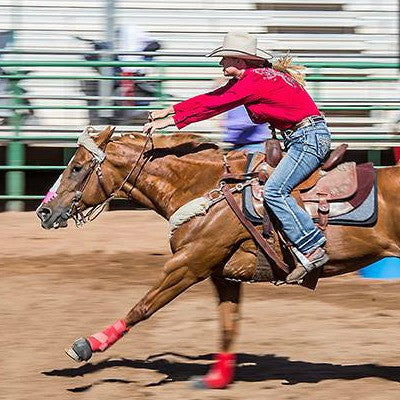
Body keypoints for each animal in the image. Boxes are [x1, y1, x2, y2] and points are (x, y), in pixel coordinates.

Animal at [37, 126, 400, 390]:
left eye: (77, 167)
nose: (44, 211)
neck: (205, 188)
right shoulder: (221, 274)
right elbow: (228, 323)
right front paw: (216, 379)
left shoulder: (189, 263)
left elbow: (143, 306)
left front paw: (87, 344)